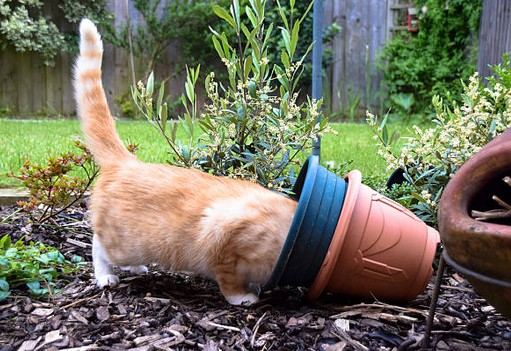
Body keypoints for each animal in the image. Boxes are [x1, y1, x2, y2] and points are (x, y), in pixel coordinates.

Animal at [74, 19, 298, 306]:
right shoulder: (222, 242)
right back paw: (104, 276)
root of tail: (127, 162)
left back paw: (134, 268)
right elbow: (229, 282)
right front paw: (244, 297)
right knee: (97, 245)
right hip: (124, 245)